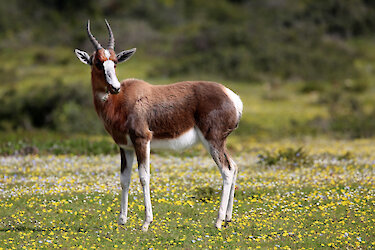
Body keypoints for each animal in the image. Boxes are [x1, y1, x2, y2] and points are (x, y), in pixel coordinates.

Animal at [74, 20, 242, 231]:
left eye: (115, 62)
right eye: (98, 62)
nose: (115, 87)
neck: (122, 100)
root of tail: (232, 97)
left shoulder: (142, 140)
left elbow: (144, 177)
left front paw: (146, 223)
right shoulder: (125, 147)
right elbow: (124, 179)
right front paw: (122, 221)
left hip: (213, 141)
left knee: (226, 171)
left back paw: (218, 221)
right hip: (219, 142)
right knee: (234, 166)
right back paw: (228, 218)